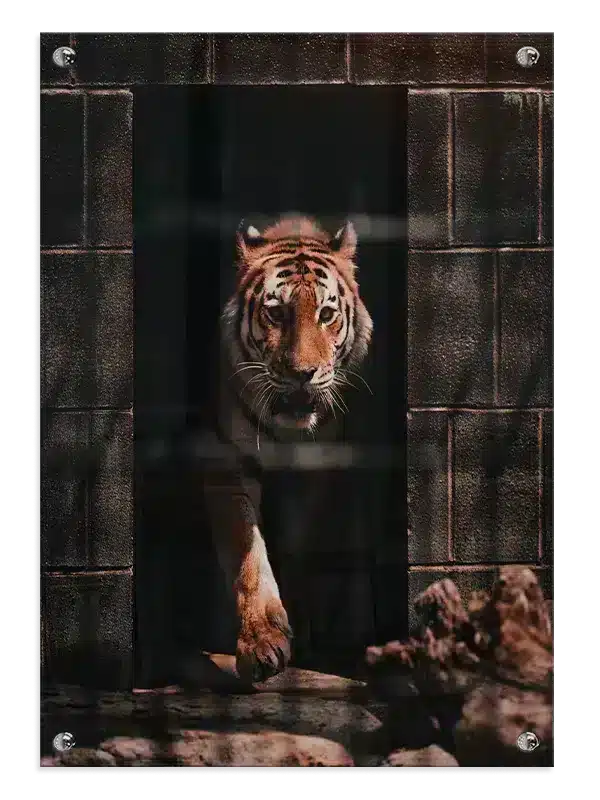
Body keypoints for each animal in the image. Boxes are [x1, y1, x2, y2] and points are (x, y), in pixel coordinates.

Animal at [205, 216, 373, 683]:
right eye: (276, 312)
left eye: (326, 314)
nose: (303, 373)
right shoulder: (230, 465)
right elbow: (248, 554)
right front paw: (262, 641)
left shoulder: (316, 472)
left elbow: (298, 548)